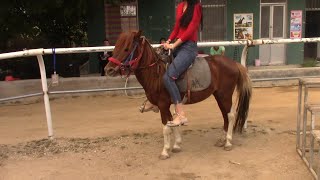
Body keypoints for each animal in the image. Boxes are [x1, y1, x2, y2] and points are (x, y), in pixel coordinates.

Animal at [106, 31, 251, 160]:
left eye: (126, 48)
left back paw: (228, 142)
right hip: (218, 96)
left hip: (224, 95)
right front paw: (176, 145)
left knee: (230, 115)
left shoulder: (163, 105)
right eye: (116, 46)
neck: (155, 74)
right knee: (225, 115)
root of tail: (234, 63)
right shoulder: (167, 105)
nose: (108, 69)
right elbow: (173, 123)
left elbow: (166, 127)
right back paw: (222, 139)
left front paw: (165, 151)